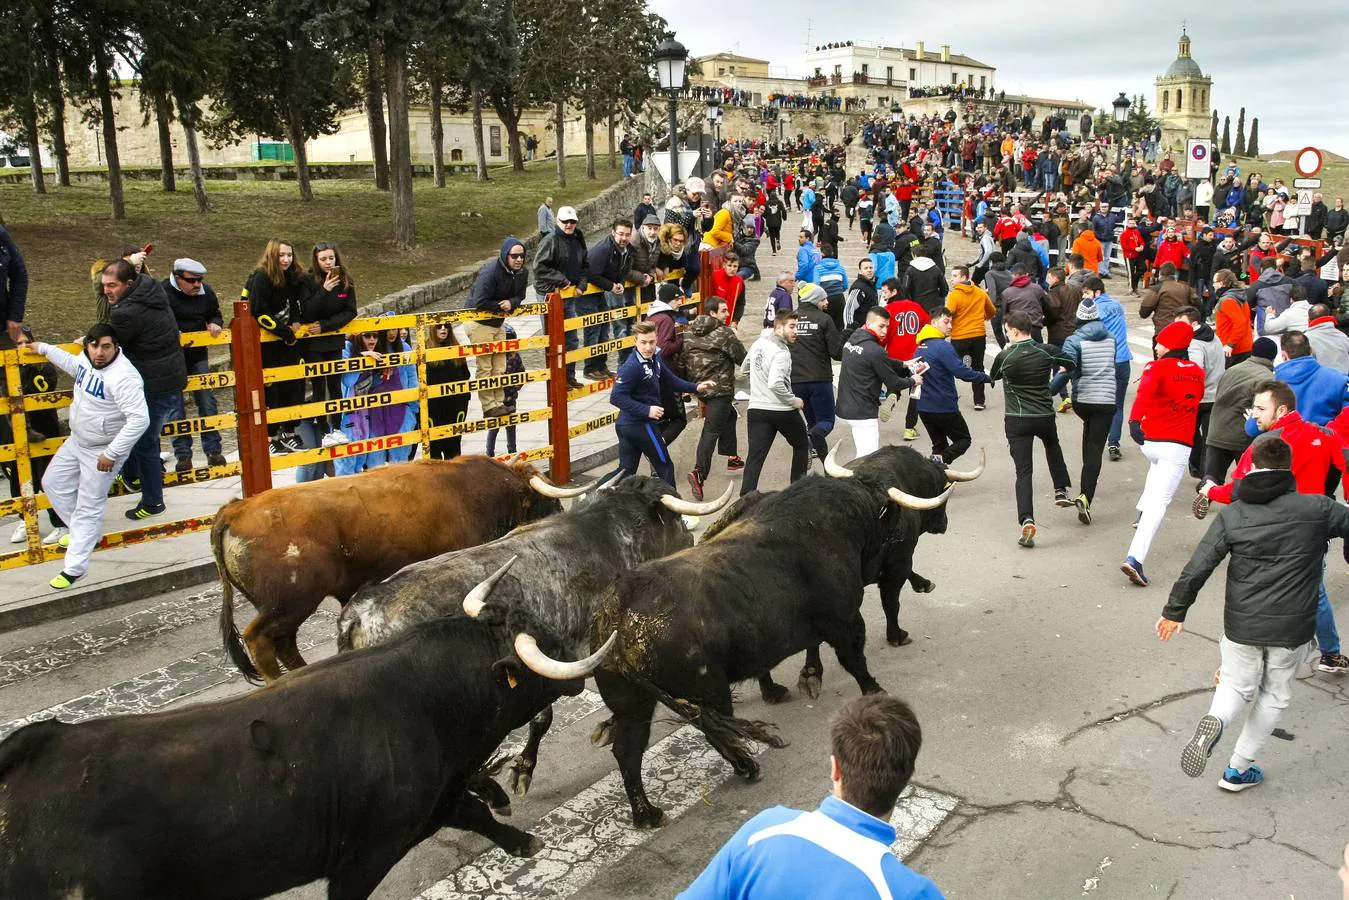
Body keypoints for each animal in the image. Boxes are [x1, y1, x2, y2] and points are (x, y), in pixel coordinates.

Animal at [0, 609, 615, 895]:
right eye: (542, 652)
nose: (580, 668)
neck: (427, 701)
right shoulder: (362, 857)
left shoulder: (433, 800)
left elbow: (474, 812)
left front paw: (522, 840)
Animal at [215, 458, 563, 682]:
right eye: (548, 501)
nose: (561, 512)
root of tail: (236, 509)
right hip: (290, 602)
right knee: (259, 640)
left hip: (288, 608)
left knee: (284, 643)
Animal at [342, 474, 733, 793]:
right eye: (674, 515)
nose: (692, 537)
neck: (608, 531)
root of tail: (361, 610)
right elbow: (546, 717)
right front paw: (524, 768)